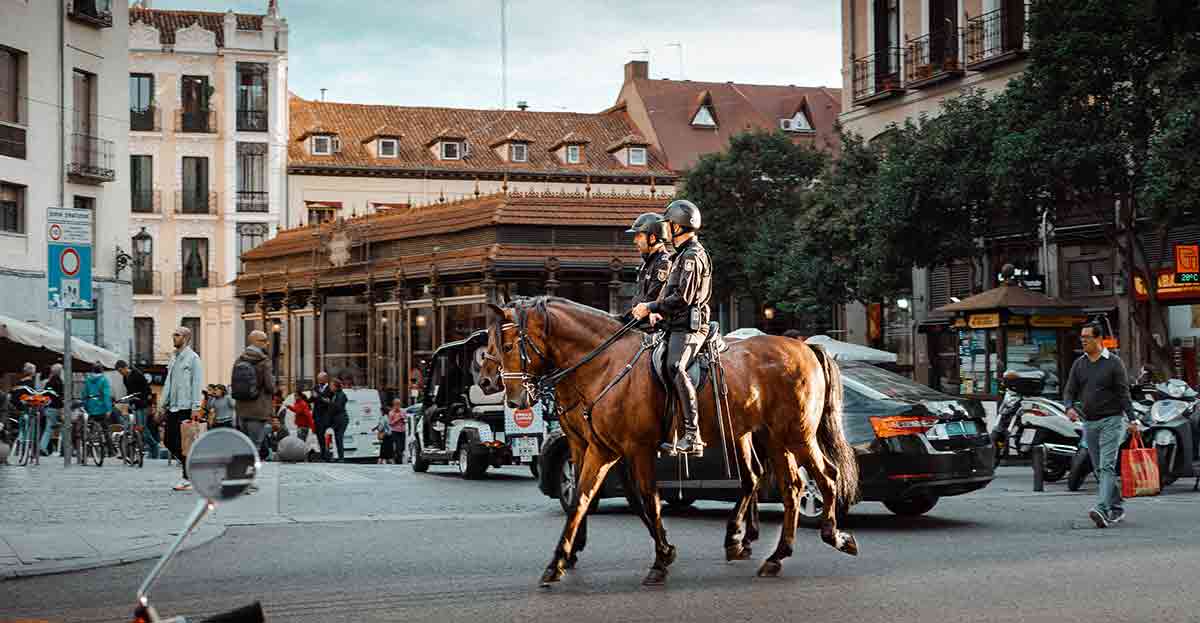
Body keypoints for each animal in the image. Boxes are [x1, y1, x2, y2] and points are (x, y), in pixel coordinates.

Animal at [472, 300, 859, 588]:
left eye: (507, 345)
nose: (500, 389)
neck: (603, 364)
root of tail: (805, 346)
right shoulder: (596, 448)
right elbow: (582, 498)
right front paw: (560, 559)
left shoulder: (632, 449)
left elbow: (646, 497)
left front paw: (661, 558)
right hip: (773, 438)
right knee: (785, 485)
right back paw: (770, 553)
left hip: (796, 435)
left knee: (824, 477)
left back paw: (834, 536)